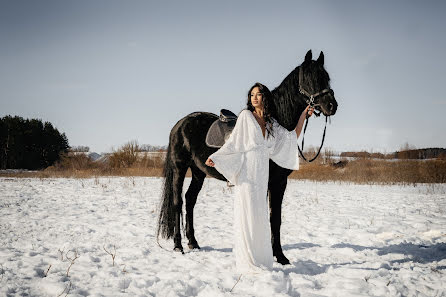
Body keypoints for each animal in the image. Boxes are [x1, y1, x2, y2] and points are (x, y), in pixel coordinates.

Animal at [157, 50, 338, 264]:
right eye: (309, 78)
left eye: (326, 77)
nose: (331, 105)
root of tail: (180, 123)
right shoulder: (271, 181)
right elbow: (270, 217)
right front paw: (275, 255)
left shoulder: (279, 182)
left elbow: (275, 218)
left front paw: (279, 255)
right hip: (180, 167)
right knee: (178, 202)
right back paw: (178, 245)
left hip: (198, 172)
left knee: (190, 199)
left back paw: (193, 242)